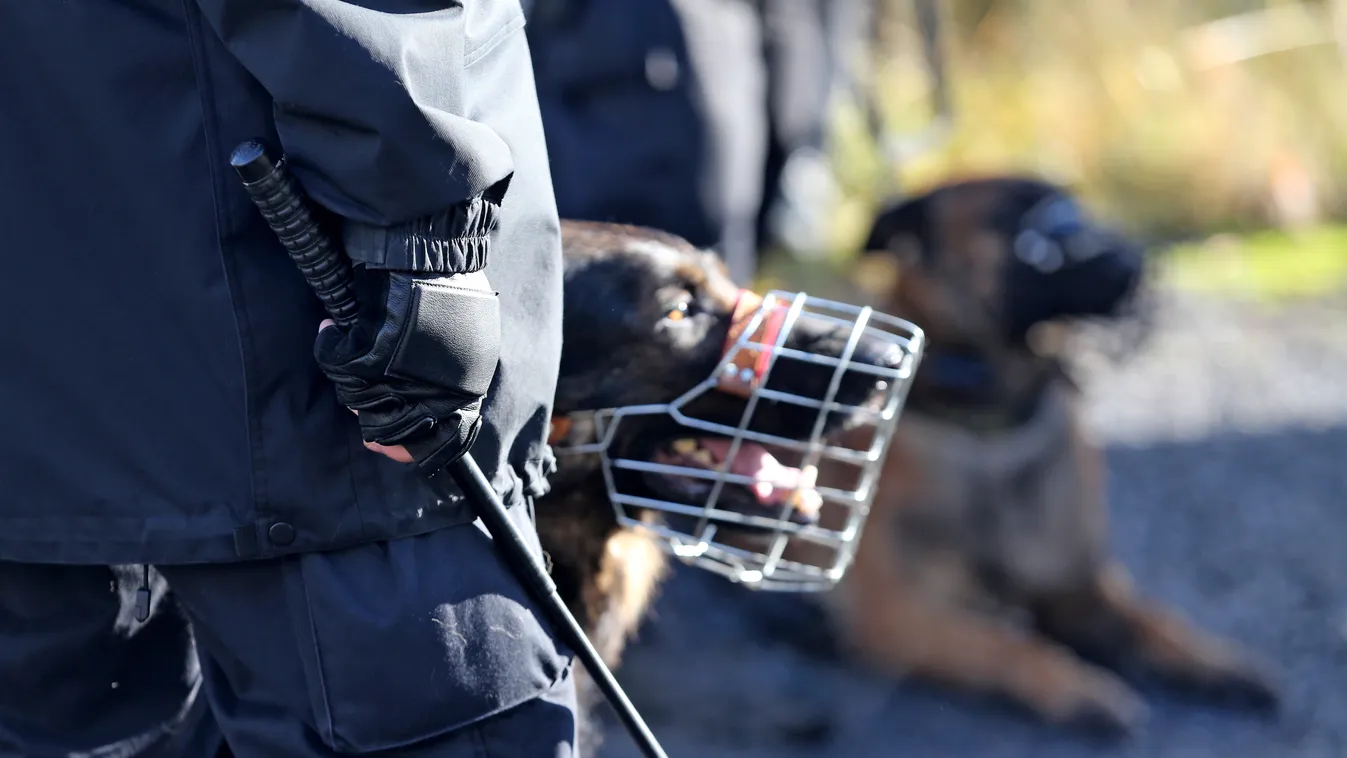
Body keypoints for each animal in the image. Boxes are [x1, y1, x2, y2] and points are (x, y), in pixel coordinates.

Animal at [818, 177, 1282, 737]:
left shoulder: (1084, 588)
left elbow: (1158, 622)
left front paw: (1216, 661)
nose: (1134, 260)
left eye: (1076, 207)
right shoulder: (894, 615)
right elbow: (1005, 643)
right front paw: (1079, 689)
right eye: (1018, 221)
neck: (991, 433)